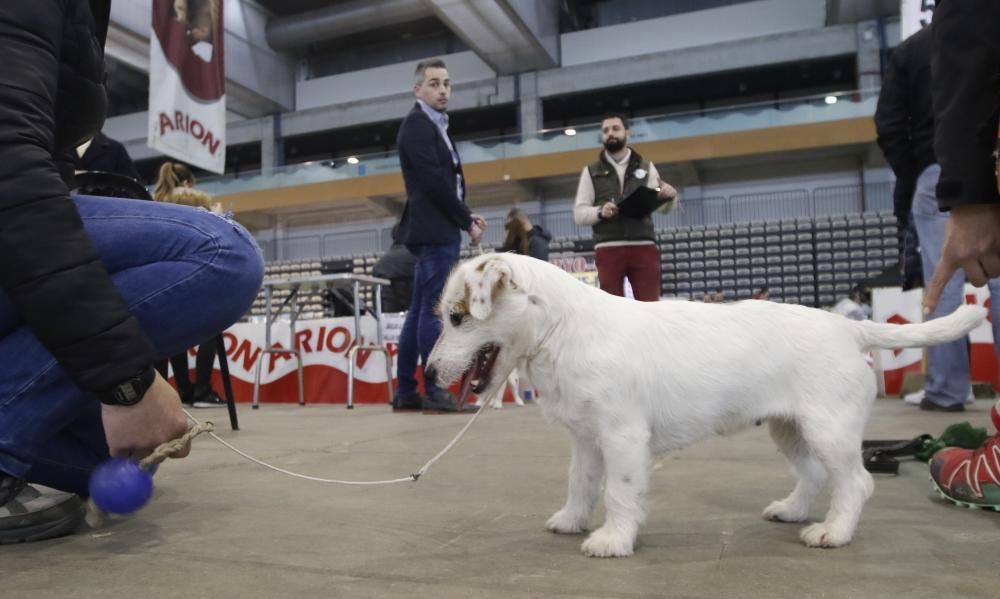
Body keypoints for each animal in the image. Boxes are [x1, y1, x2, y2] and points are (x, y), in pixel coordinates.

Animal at [424, 253, 984, 556]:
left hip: (829, 432)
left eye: (456, 317)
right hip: (790, 429)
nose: (427, 374)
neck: (562, 328)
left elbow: (620, 493)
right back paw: (792, 511)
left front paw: (613, 540)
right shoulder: (587, 440)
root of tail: (848, 328)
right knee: (812, 475)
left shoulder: (622, 438)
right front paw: (571, 520)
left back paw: (833, 532)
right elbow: (580, 484)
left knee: (855, 482)